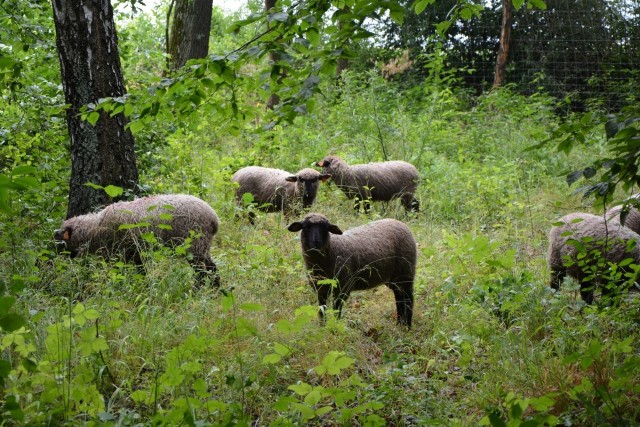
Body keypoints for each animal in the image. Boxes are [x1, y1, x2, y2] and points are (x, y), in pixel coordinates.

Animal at [53, 196, 222, 290]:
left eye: (61, 241)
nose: (60, 258)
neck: (95, 228)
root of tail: (214, 218)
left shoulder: (119, 254)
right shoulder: (135, 255)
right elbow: (141, 274)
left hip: (195, 244)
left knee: (203, 270)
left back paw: (201, 289)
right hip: (202, 246)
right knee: (211, 268)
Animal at [288, 213, 418, 328]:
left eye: (325, 228)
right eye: (305, 227)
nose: (316, 243)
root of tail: (400, 223)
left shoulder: (343, 285)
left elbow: (336, 309)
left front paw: (335, 327)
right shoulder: (320, 287)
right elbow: (322, 309)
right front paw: (322, 327)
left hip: (406, 273)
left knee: (408, 299)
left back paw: (407, 326)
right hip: (395, 279)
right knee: (400, 299)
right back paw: (400, 324)